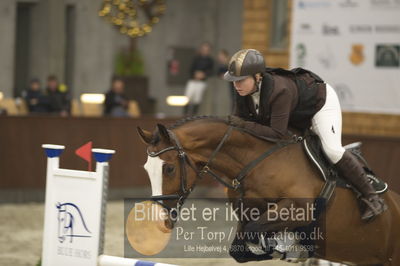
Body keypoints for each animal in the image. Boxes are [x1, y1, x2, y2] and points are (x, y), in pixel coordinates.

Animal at [137, 117, 400, 266]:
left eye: (169, 168)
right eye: (146, 169)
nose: (158, 220)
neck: (254, 162)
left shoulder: (298, 209)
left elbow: (257, 231)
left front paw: (284, 246)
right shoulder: (247, 214)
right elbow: (241, 247)